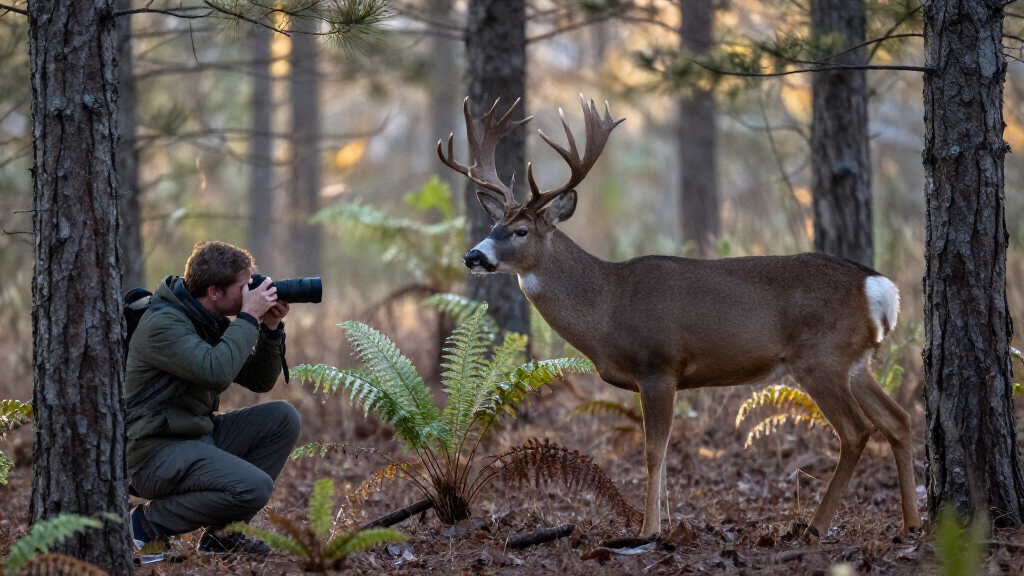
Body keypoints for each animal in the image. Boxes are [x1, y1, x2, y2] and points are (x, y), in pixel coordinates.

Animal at [437, 95, 922, 539]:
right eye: (494, 226)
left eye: (520, 231)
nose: (472, 256)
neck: (607, 308)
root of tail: (880, 287)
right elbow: (663, 455)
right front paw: (665, 524)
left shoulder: (659, 365)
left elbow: (653, 453)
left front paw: (648, 531)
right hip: (855, 361)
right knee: (898, 420)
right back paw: (912, 523)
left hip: (820, 357)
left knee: (856, 432)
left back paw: (815, 527)